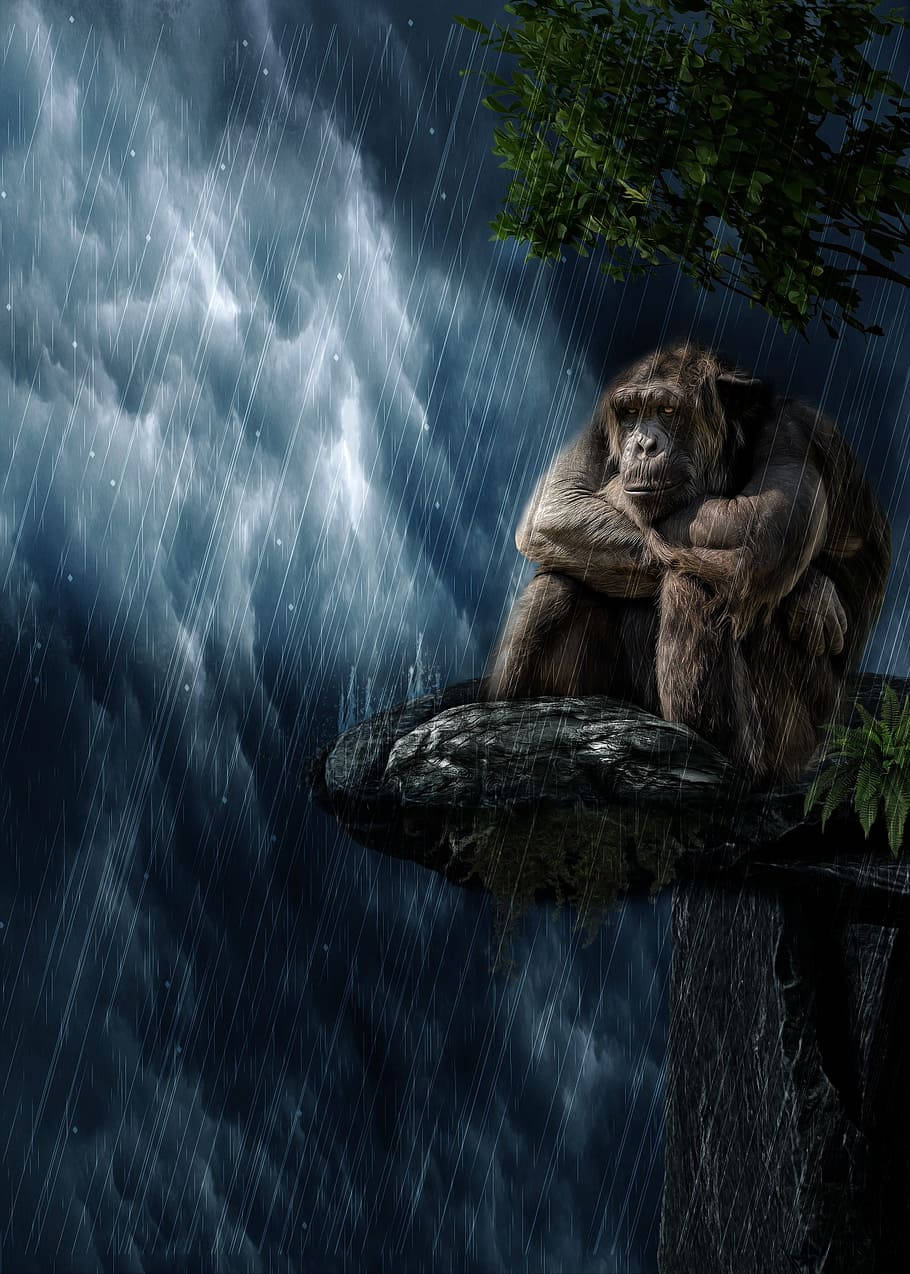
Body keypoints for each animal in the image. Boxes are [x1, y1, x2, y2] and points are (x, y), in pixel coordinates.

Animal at [483, 344, 891, 784]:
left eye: (666, 409)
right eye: (630, 413)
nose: (643, 444)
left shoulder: (795, 432)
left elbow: (756, 526)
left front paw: (810, 591)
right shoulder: (598, 427)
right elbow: (557, 503)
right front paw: (812, 591)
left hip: (797, 741)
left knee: (699, 582)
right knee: (559, 582)